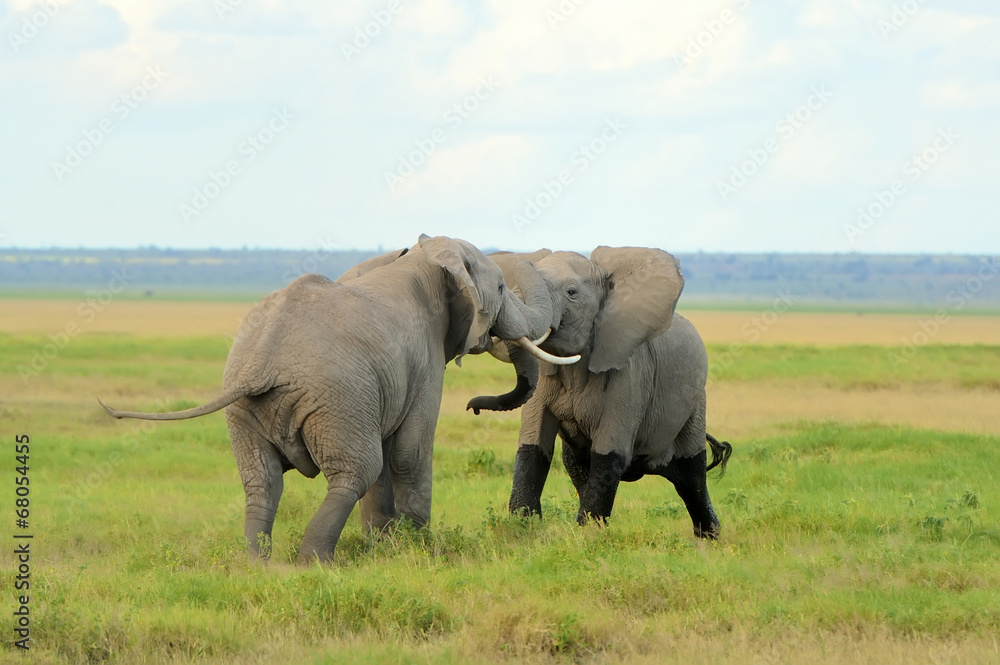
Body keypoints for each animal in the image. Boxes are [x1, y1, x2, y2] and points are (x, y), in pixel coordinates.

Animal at [99, 235, 579, 564]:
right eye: (499, 289)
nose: (474, 406)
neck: (426, 257)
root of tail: (265, 359)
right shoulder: (425, 360)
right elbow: (409, 452)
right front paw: (415, 546)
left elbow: (392, 456)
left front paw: (384, 545)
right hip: (337, 397)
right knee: (356, 469)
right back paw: (315, 563)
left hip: (254, 410)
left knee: (262, 479)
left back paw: (257, 563)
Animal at [469, 247, 732, 539]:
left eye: (571, 292)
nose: (473, 408)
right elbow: (532, 447)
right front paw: (525, 529)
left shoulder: (630, 374)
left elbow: (608, 454)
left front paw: (588, 536)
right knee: (576, 465)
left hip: (695, 405)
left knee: (692, 478)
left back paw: (709, 540)